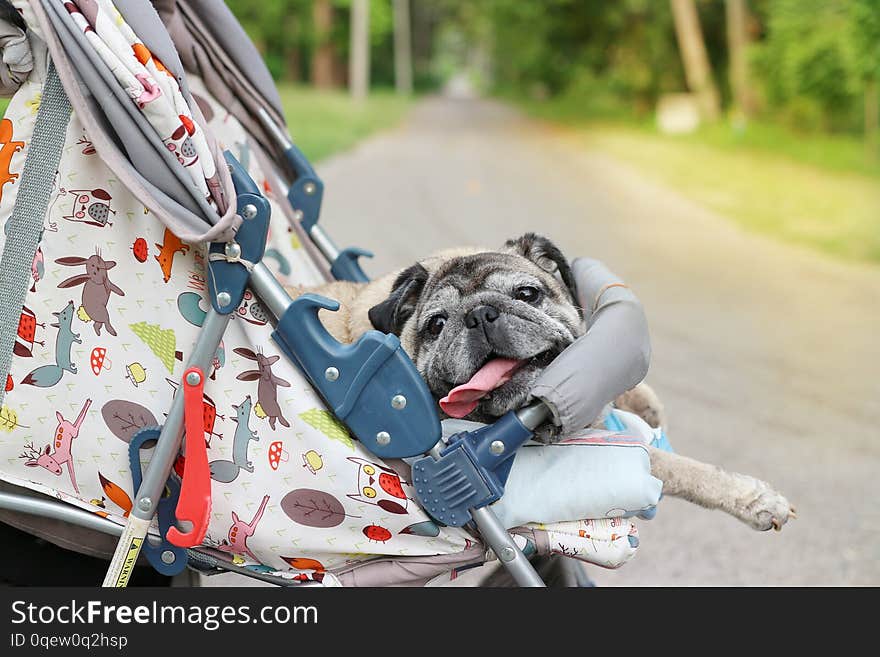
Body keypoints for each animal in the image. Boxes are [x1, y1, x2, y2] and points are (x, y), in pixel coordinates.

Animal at [286, 233, 796, 532]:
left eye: (527, 294)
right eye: (436, 325)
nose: (479, 314)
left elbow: (596, 357)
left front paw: (642, 399)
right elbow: (675, 466)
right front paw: (753, 498)